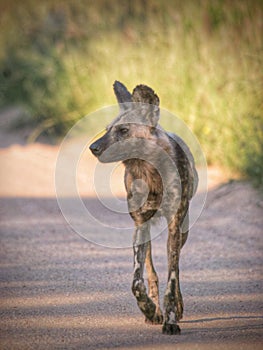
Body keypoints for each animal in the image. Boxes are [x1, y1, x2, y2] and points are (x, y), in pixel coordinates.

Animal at [89, 80, 199, 334]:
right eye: (107, 129)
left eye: (123, 131)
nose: (93, 147)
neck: (150, 171)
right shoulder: (140, 224)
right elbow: (137, 282)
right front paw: (149, 309)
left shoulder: (174, 226)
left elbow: (172, 279)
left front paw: (171, 320)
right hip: (145, 231)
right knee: (151, 271)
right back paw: (154, 311)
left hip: (182, 232)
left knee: (175, 269)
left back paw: (175, 308)